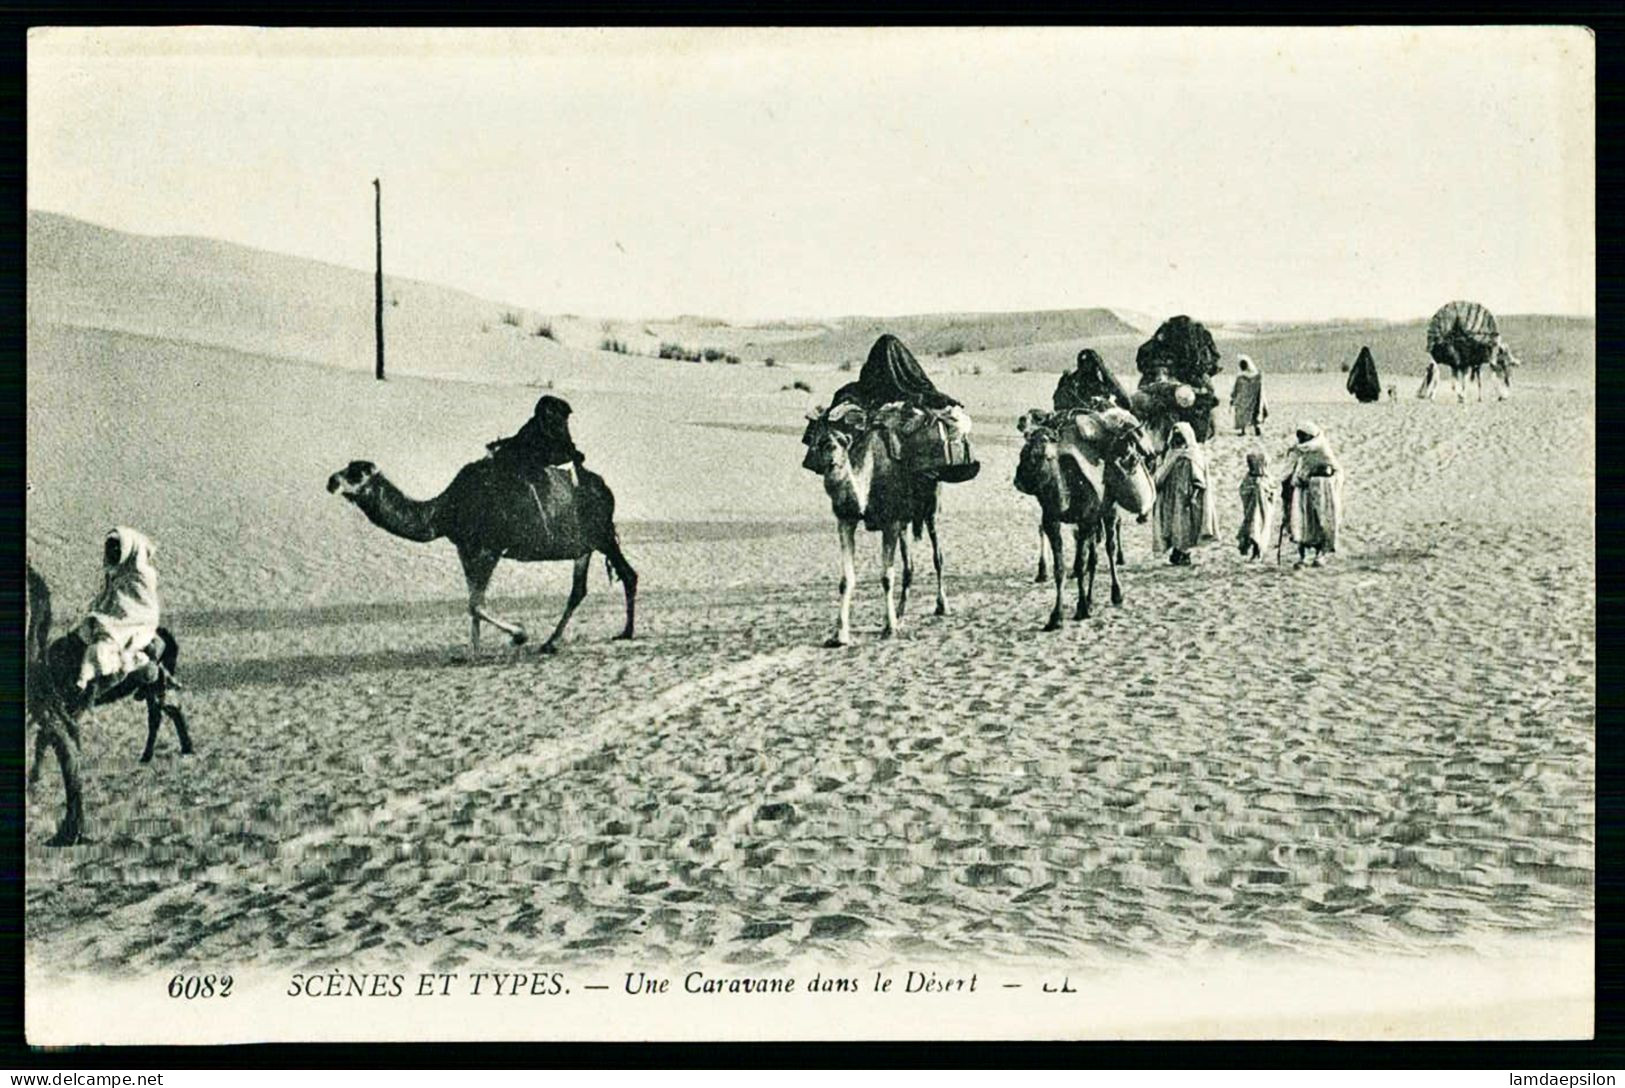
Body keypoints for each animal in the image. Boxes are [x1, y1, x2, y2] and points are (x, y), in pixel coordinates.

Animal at [26, 561, 192, 850]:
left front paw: (34, 777)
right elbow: (47, 738)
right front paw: (36, 775)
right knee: (166, 712)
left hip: (153, 687)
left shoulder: (62, 705)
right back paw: (173, 750)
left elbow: (47, 738)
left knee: (162, 714)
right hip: (149, 688)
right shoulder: (65, 706)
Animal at [326, 454, 637, 652]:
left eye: (356, 472)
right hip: (583, 545)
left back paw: (626, 632)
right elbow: (473, 601)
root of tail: (606, 490)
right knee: (579, 589)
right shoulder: (465, 549)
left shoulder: (490, 548)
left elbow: (475, 604)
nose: (331, 481)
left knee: (627, 574)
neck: (444, 511)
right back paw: (551, 642)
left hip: (601, 535)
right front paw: (472, 652)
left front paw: (519, 635)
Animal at [802, 407, 949, 649]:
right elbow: (846, 579)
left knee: (937, 556)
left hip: (932, 509)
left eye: (842, 443)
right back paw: (899, 614)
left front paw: (889, 630)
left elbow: (887, 577)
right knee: (909, 566)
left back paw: (941, 605)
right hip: (905, 523)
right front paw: (839, 634)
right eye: (821, 442)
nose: (832, 456)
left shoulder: (890, 522)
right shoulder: (846, 521)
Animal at [1014, 409, 1157, 630]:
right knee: (1094, 555)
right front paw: (1056, 616)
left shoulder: (1084, 520)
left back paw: (1116, 593)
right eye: (1023, 454)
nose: (1020, 480)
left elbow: (1081, 565)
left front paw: (1081, 608)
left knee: (1108, 547)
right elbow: (1060, 569)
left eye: (1045, 456)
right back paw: (1091, 599)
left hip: (1109, 510)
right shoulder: (1052, 521)